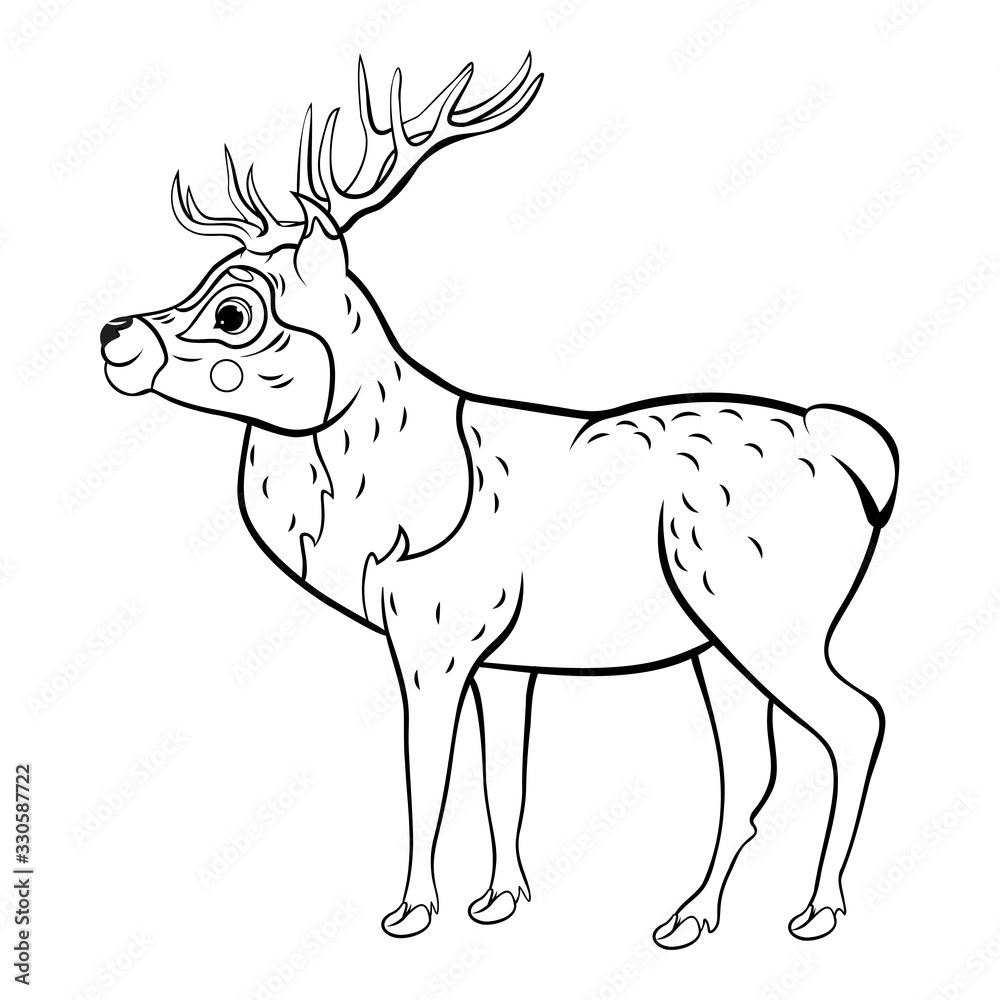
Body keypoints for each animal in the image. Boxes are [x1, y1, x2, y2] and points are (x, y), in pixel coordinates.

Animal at [100, 54, 899, 947]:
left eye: (235, 310)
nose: (114, 337)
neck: (383, 512)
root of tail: (850, 449)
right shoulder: (508, 659)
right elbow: (503, 778)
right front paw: (502, 899)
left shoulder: (436, 632)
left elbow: (428, 776)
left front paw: (413, 910)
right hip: (716, 642)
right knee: (751, 768)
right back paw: (690, 917)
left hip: (766, 612)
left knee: (856, 720)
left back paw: (818, 909)